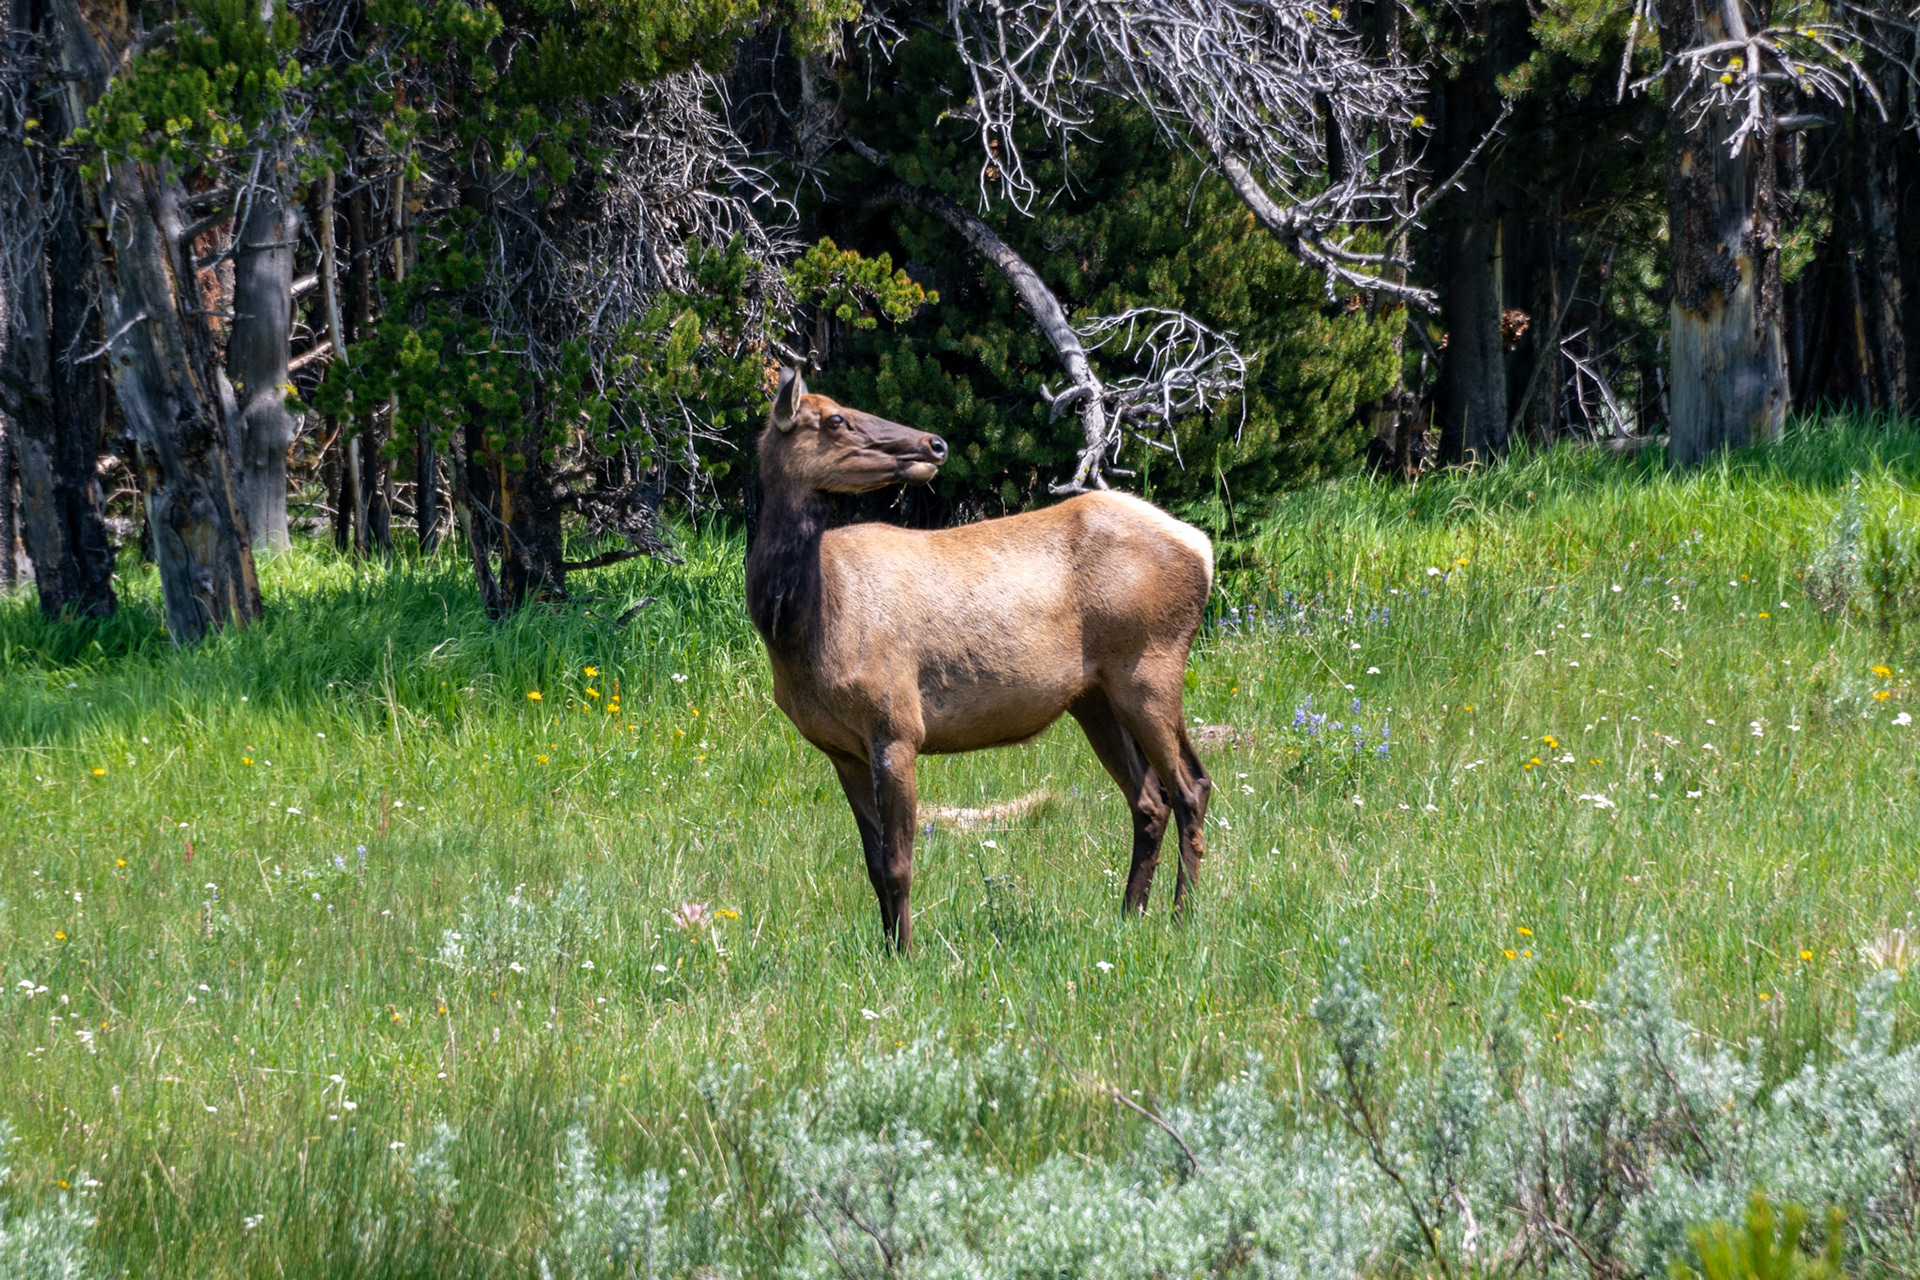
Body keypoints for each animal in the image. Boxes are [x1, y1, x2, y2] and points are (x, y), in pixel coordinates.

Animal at [746, 368, 1214, 951]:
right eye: (835, 419)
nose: (934, 443)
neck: (807, 630)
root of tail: (1204, 550)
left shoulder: (897, 725)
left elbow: (899, 864)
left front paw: (905, 955)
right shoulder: (840, 749)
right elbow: (873, 866)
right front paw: (886, 949)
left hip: (1150, 667)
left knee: (1192, 786)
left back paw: (1182, 918)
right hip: (1095, 697)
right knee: (1150, 800)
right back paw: (1129, 915)